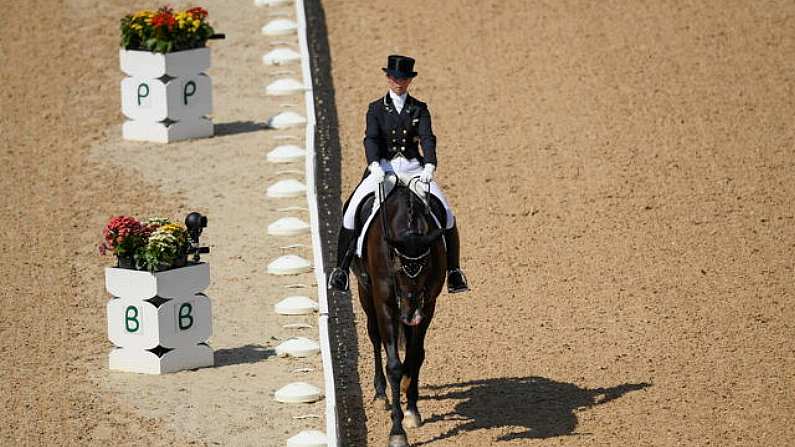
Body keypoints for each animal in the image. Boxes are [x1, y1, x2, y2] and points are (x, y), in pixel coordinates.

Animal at [352, 176, 448, 447]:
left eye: (427, 265)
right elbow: (393, 365)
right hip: (366, 295)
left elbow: (414, 356)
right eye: (396, 268)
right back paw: (380, 394)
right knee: (375, 338)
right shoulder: (385, 303)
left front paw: (412, 410)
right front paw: (397, 431)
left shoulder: (428, 304)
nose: (410, 313)